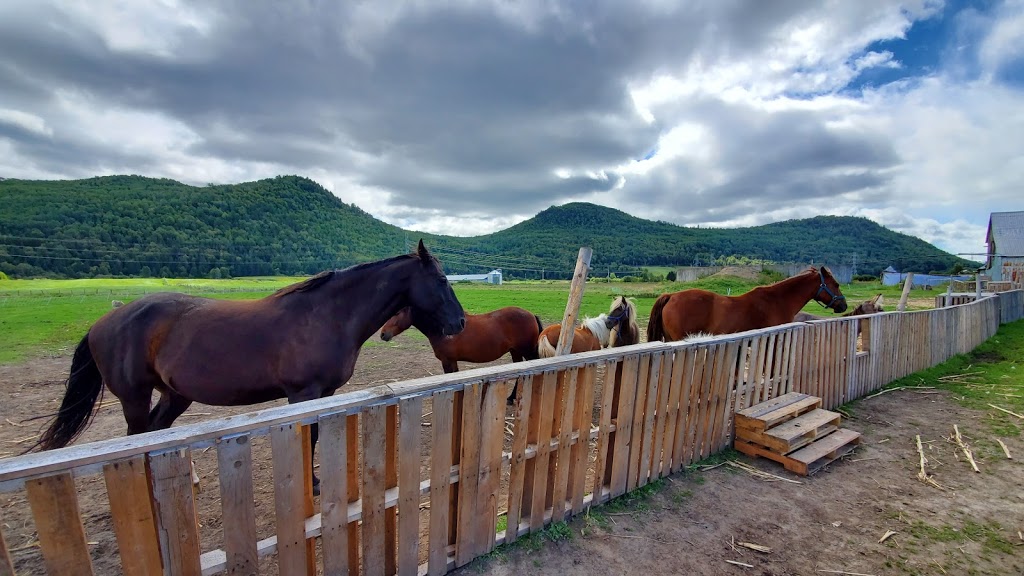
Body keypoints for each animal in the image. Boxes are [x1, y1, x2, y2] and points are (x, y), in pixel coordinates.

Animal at [29, 239, 464, 491]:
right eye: (442, 280)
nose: (460, 322)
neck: (326, 314)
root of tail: (101, 323)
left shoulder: (323, 393)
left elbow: (314, 437)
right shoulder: (303, 394)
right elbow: (308, 437)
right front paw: (311, 484)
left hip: (175, 395)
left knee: (157, 432)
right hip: (134, 398)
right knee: (138, 439)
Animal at [378, 305, 544, 373]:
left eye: (397, 312)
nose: (383, 334)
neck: (443, 330)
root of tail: (531, 315)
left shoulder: (447, 361)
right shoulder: (453, 361)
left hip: (527, 352)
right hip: (515, 351)